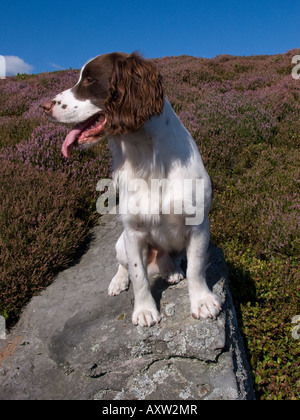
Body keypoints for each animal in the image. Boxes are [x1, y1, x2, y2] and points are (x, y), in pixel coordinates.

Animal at [42, 52, 220, 326]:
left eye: (90, 79)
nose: (44, 107)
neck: (147, 159)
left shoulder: (198, 224)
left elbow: (196, 267)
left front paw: (202, 301)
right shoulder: (133, 233)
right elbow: (139, 276)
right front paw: (145, 310)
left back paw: (171, 271)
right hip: (121, 242)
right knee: (123, 265)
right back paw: (119, 281)